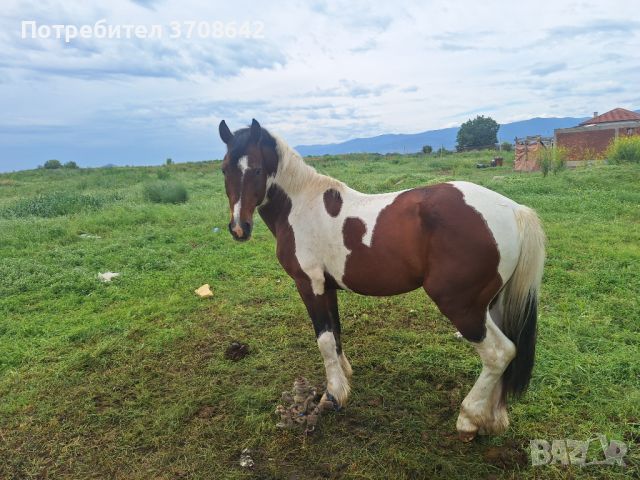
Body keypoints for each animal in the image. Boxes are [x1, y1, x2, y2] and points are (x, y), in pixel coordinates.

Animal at [218, 118, 544, 440]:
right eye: (224, 168)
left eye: (257, 169)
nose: (239, 228)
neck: (301, 206)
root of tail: (513, 210)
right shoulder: (328, 287)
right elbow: (336, 334)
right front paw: (345, 378)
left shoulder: (310, 285)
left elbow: (324, 340)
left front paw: (333, 395)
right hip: (491, 304)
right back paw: (493, 419)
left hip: (462, 306)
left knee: (500, 353)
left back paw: (469, 418)